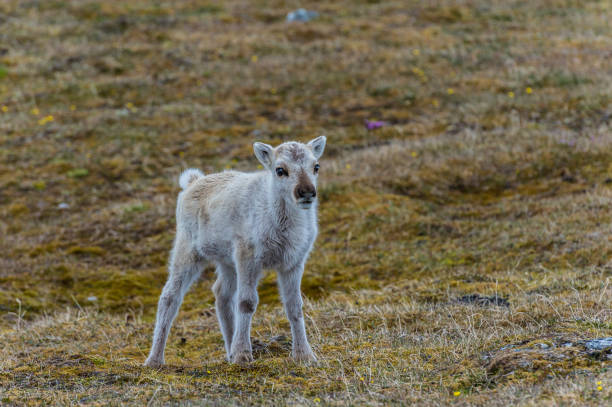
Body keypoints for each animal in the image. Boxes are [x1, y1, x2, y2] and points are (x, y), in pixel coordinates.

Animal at [145, 139, 326, 368]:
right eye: (280, 170)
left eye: (316, 166)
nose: (307, 192)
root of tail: (191, 182)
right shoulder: (247, 255)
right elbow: (247, 302)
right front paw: (243, 354)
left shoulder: (293, 262)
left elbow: (295, 306)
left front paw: (305, 356)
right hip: (187, 249)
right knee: (170, 296)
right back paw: (155, 359)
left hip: (226, 260)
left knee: (221, 293)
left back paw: (229, 350)